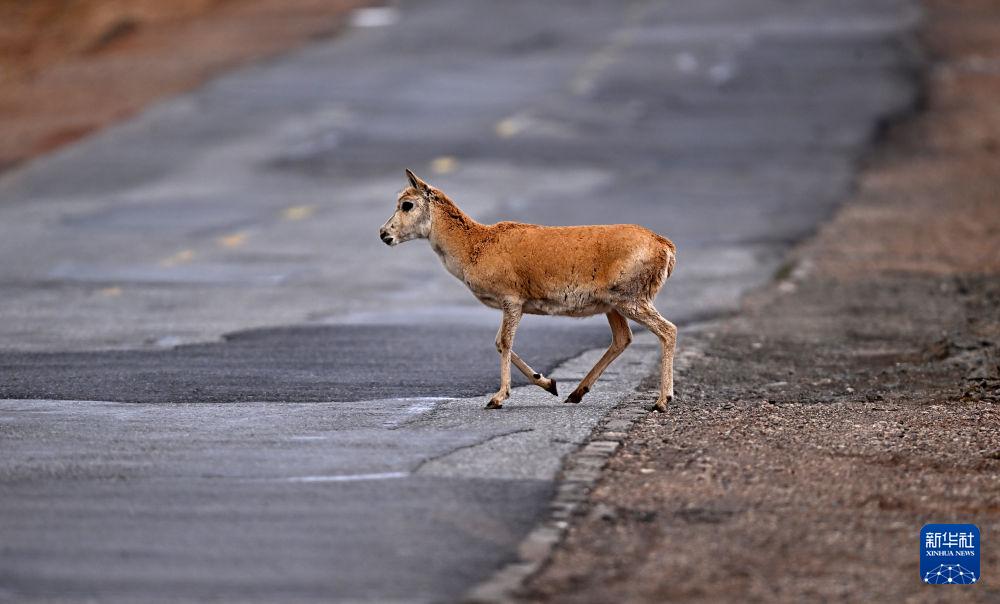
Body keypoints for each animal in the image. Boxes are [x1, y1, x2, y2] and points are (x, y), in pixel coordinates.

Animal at [378, 172, 676, 412]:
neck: (475, 246)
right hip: (613, 305)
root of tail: (665, 246)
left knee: (667, 330)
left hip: (629, 300)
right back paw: (575, 393)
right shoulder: (514, 305)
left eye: (407, 204)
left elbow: (504, 342)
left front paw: (497, 398)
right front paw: (549, 383)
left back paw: (662, 401)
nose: (383, 233)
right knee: (622, 338)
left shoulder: (512, 300)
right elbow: (499, 343)